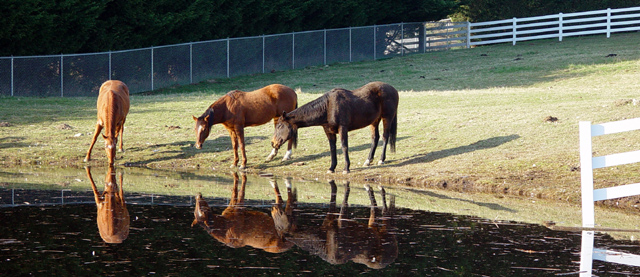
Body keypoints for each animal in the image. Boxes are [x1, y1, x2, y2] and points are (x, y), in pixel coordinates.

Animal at [272, 81, 400, 174]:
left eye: (279, 126)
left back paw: (381, 160)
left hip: (387, 117)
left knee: (385, 137)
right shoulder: (329, 131)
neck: (328, 107)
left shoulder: (342, 128)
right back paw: (368, 161)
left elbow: (344, 146)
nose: (273, 143)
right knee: (375, 138)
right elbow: (332, 148)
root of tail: (393, 89)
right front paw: (332, 168)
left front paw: (346, 168)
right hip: (374, 121)